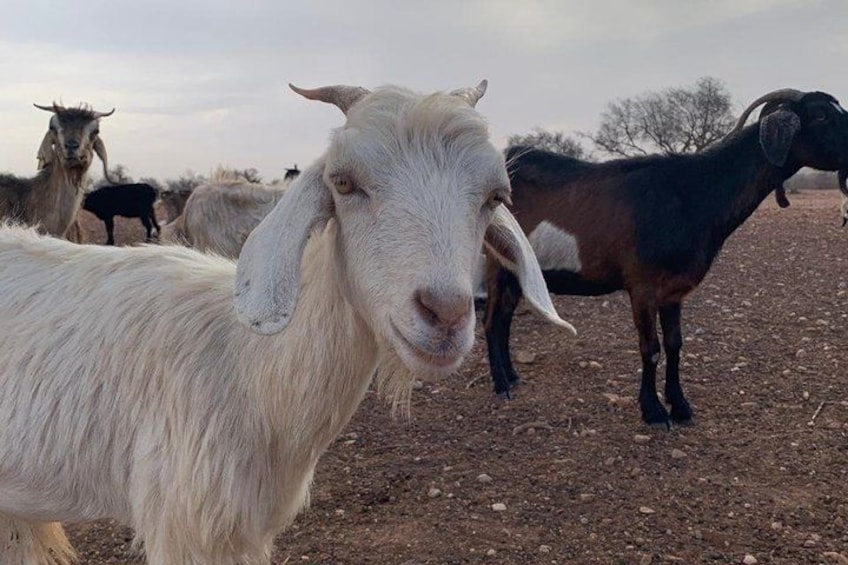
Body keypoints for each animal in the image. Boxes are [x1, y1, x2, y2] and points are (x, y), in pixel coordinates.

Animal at [484, 88, 848, 428]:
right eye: (820, 116)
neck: (690, 195)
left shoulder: (675, 290)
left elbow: (674, 344)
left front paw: (681, 406)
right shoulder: (642, 285)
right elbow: (651, 348)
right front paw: (655, 412)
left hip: (517, 270)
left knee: (504, 319)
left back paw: (513, 377)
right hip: (494, 263)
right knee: (491, 321)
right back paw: (501, 386)